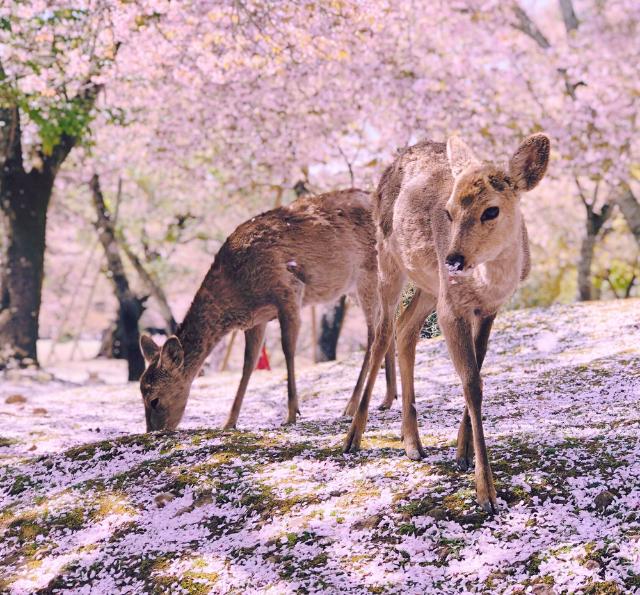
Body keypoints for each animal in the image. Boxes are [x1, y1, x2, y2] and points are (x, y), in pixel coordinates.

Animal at [138, 190, 398, 434]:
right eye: (141, 392)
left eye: (154, 399)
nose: (154, 431)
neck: (237, 291)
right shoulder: (256, 320)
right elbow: (248, 363)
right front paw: (229, 422)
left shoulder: (288, 291)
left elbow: (287, 349)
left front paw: (291, 414)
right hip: (358, 287)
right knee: (387, 324)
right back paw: (388, 398)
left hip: (368, 274)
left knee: (373, 333)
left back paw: (351, 405)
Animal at [344, 134, 552, 512]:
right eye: (449, 211)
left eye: (491, 210)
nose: (454, 259)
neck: (487, 284)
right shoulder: (452, 308)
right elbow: (471, 382)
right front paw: (487, 493)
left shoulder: (487, 309)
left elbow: (477, 374)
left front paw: (462, 453)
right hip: (388, 259)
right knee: (382, 332)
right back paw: (353, 437)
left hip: (429, 285)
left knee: (405, 328)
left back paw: (412, 443)